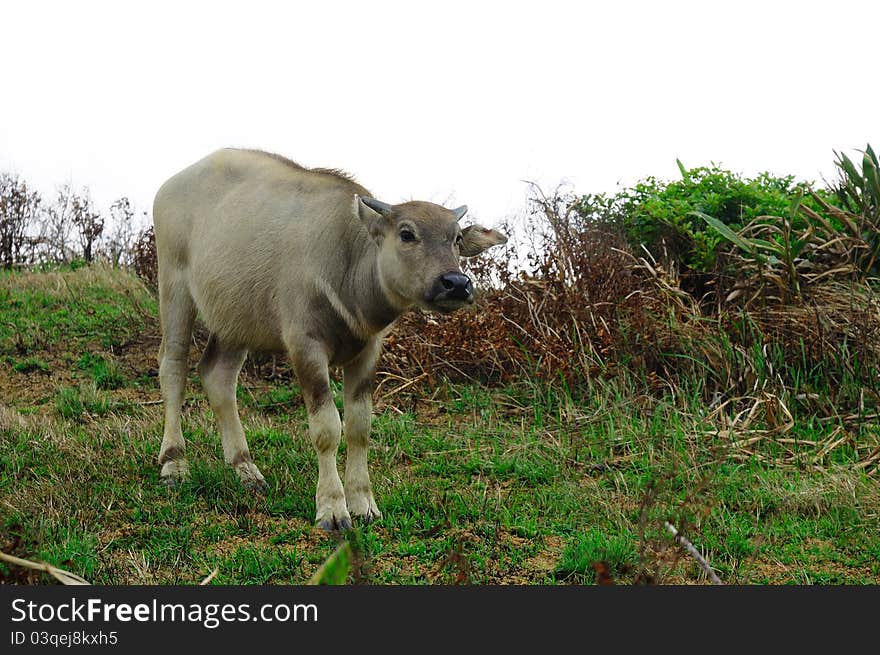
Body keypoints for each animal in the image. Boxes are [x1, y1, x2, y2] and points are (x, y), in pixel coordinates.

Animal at [153, 146, 508, 532]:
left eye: (456, 238)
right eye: (407, 233)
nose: (456, 284)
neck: (347, 268)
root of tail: (168, 187)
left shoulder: (368, 351)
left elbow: (359, 426)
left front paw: (364, 504)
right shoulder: (305, 346)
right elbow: (327, 429)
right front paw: (333, 509)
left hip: (235, 319)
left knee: (217, 375)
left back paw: (246, 468)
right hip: (173, 286)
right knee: (173, 367)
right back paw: (173, 462)